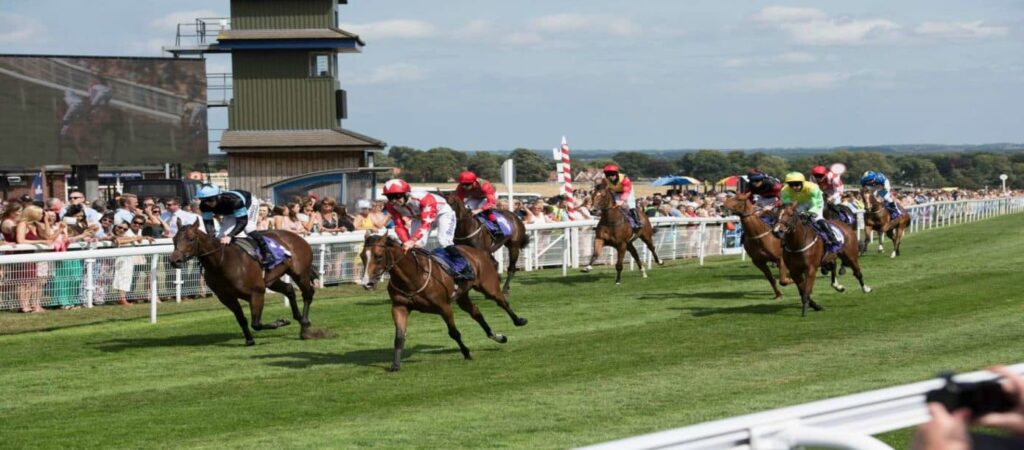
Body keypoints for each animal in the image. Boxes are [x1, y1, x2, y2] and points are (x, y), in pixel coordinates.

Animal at [167, 223, 319, 346]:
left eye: (191, 239)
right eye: (174, 239)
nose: (175, 260)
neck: (222, 262)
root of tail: (297, 236)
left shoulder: (257, 293)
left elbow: (256, 323)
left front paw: (280, 322)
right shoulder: (227, 298)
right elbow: (242, 319)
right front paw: (250, 340)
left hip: (300, 273)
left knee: (308, 293)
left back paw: (305, 324)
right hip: (271, 280)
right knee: (289, 289)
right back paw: (299, 318)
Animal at [360, 234, 528, 371]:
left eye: (378, 256)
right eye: (362, 256)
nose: (366, 283)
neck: (413, 277)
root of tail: (474, 251)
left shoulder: (444, 307)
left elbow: (454, 333)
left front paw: (466, 353)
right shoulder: (399, 307)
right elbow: (399, 337)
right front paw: (395, 365)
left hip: (488, 286)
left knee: (502, 302)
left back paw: (519, 321)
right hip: (462, 296)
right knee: (476, 312)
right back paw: (497, 337)